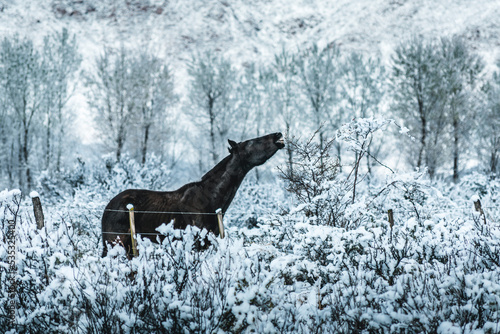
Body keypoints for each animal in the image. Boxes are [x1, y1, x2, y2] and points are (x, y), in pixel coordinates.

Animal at [100, 132, 286, 258]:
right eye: (252, 142)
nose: (278, 135)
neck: (212, 200)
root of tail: (106, 209)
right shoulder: (198, 243)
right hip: (116, 243)